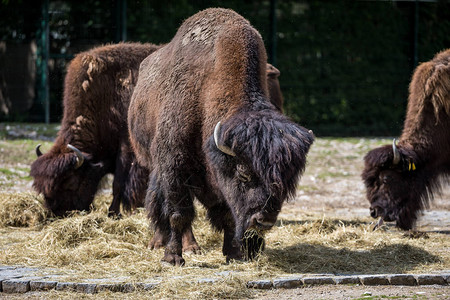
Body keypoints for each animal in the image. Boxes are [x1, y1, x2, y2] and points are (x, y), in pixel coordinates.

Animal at [29, 41, 160, 216]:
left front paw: (113, 212)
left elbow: (118, 183)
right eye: (44, 190)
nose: (59, 213)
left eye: (71, 182)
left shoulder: (126, 147)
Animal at [127, 7, 312, 264]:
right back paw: (166, 244)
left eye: (286, 181)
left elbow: (227, 215)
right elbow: (178, 213)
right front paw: (172, 257)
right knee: (157, 200)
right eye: (243, 173)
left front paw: (233, 254)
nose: (263, 221)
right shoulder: (174, 165)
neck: (206, 92)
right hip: (151, 161)